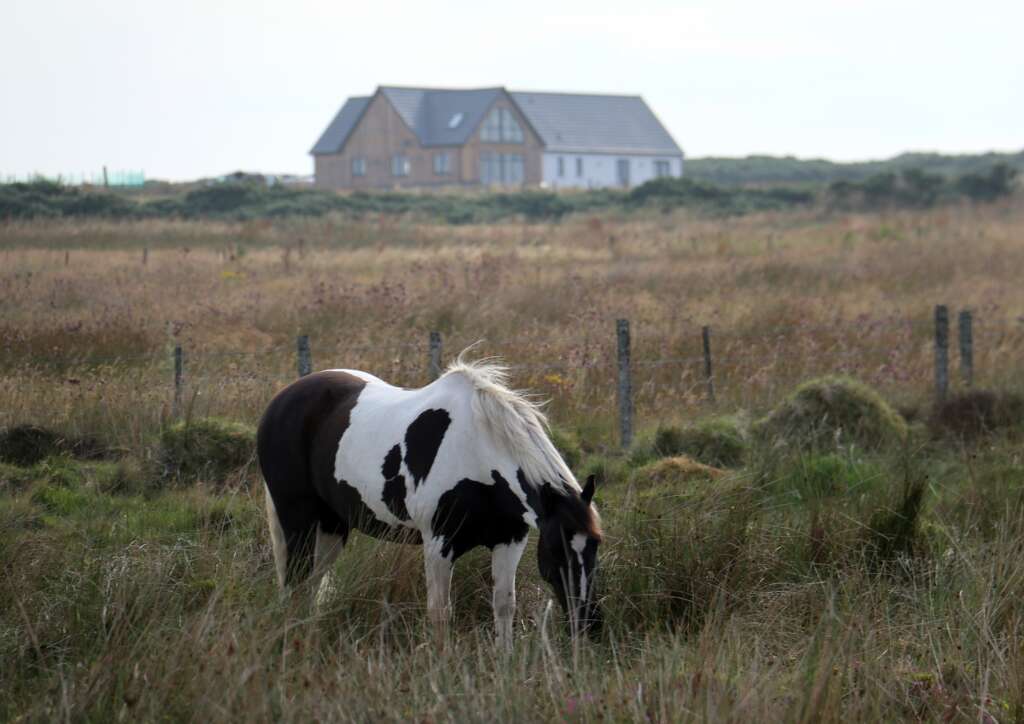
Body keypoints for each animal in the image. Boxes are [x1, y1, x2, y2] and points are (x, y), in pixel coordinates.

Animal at [256, 358, 602, 647]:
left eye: (596, 546)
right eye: (557, 550)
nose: (585, 624)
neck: (475, 453)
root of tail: (282, 399)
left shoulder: (510, 541)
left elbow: (504, 605)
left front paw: (506, 662)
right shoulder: (438, 545)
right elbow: (440, 611)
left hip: (332, 525)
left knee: (312, 587)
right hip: (298, 521)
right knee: (295, 584)